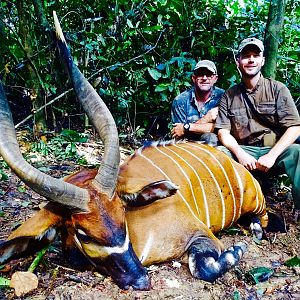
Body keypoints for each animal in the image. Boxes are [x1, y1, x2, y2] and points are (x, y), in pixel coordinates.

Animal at [0, 11, 268, 290]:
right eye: (83, 234)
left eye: (122, 215)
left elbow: (204, 267)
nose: (140, 279)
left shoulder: (201, 235)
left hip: (255, 200)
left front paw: (237, 250)